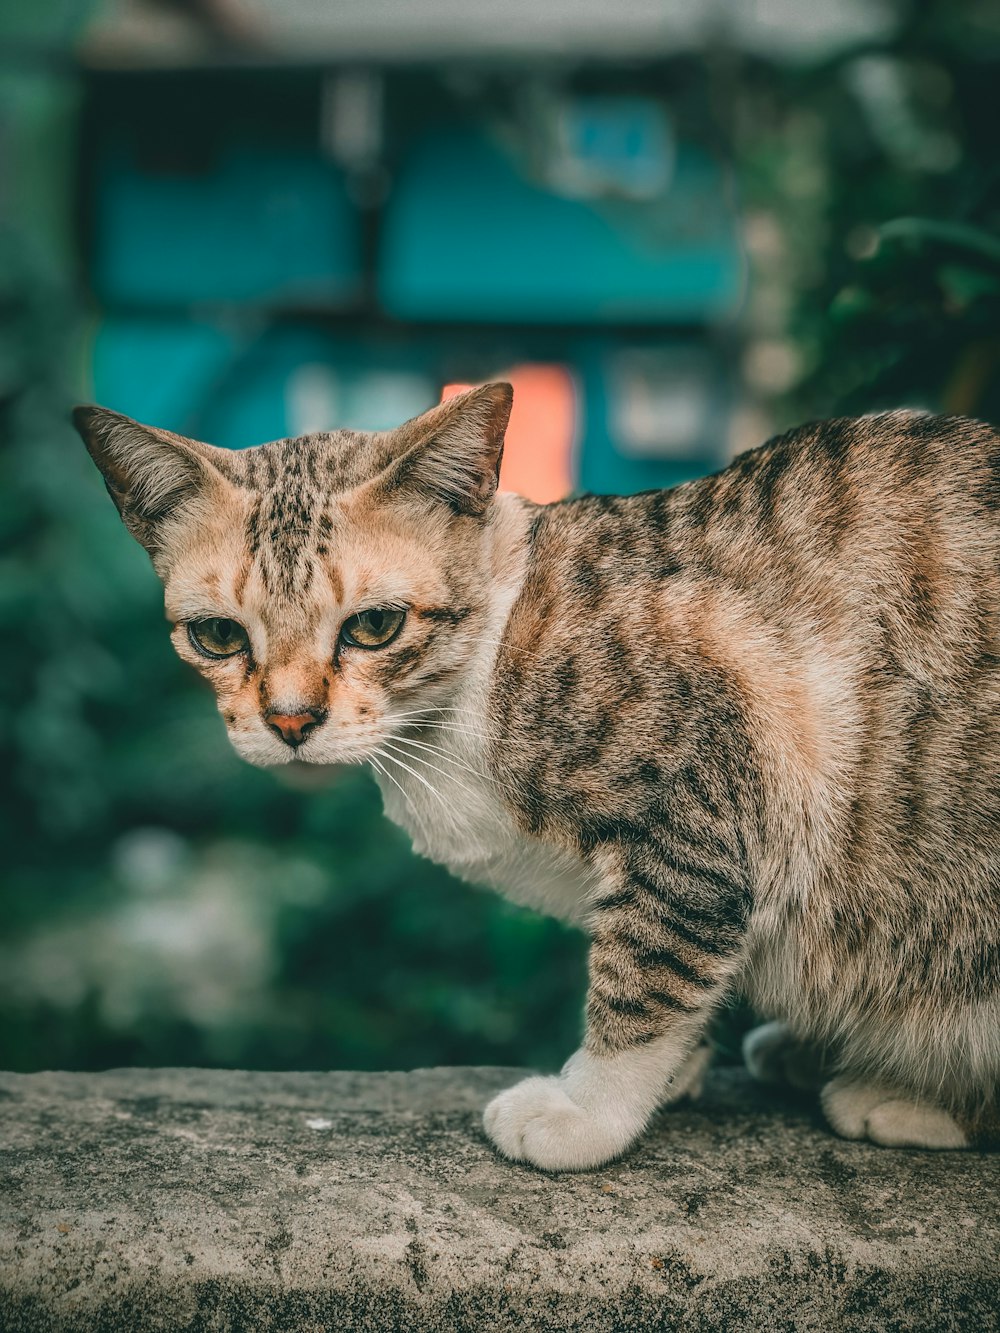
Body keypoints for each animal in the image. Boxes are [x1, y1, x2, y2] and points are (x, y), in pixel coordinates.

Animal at [72, 386, 1000, 1167]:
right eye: (219, 636)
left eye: (374, 625)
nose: (291, 722)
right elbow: (685, 976)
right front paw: (677, 1070)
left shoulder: (710, 800)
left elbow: (646, 972)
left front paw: (589, 1110)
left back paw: (904, 1096)